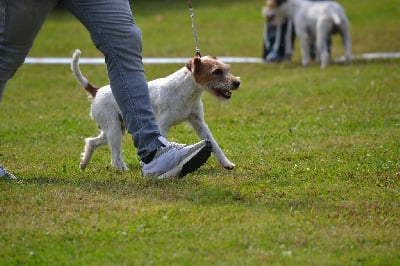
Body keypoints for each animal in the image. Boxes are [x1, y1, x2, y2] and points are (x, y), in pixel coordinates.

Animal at [70, 49, 241, 170]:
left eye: (227, 69)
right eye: (216, 71)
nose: (237, 82)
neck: (186, 91)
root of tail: (97, 91)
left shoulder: (198, 123)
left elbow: (214, 144)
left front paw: (226, 163)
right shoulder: (162, 125)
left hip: (115, 129)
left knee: (91, 142)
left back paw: (83, 164)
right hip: (114, 130)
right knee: (115, 157)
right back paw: (123, 169)